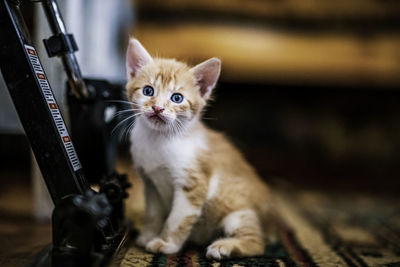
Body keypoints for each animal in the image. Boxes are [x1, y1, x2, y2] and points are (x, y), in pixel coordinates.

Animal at [126, 38, 268, 260]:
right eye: (148, 91)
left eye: (177, 98)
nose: (158, 108)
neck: (159, 140)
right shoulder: (150, 182)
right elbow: (154, 213)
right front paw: (149, 235)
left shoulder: (193, 183)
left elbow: (177, 219)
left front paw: (165, 243)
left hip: (237, 209)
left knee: (257, 243)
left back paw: (225, 246)